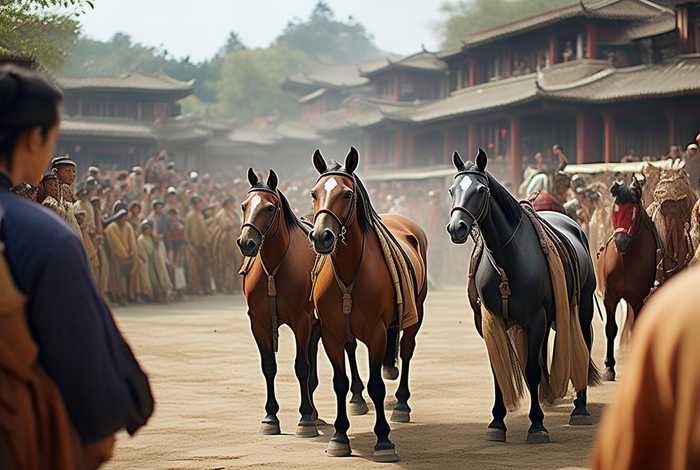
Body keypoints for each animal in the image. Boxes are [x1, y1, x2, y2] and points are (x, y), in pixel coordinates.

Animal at [237, 168, 371, 439]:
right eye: (244, 205)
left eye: (269, 208)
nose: (246, 242)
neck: (274, 270)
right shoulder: (259, 323)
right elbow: (269, 366)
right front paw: (270, 417)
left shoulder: (301, 321)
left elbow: (301, 367)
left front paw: (305, 418)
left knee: (347, 348)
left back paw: (355, 398)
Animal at [308, 147, 428, 462]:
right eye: (314, 193)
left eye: (347, 194)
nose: (321, 236)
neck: (350, 272)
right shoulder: (331, 333)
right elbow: (339, 382)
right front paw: (339, 437)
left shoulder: (377, 333)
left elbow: (377, 385)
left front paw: (384, 440)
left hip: (417, 312)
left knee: (407, 349)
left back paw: (401, 405)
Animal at [447, 149, 598, 444]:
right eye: (452, 190)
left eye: (481, 190)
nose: (456, 227)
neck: (508, 259)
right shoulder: (489, 319)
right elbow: (500, 368)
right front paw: (497, 422)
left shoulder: (536, 317)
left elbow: (530, 368)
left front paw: (537, 425)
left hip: (582, 305)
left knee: (583, 343)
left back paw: (580, 407)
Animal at [596, 177, 658, 381]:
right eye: (615, 210)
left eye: (635, 211)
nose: (621, 241)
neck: (625, 260)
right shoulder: (610, 296)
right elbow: (610, 328)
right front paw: (609, 367)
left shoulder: (639, 298)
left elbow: (638, 327)